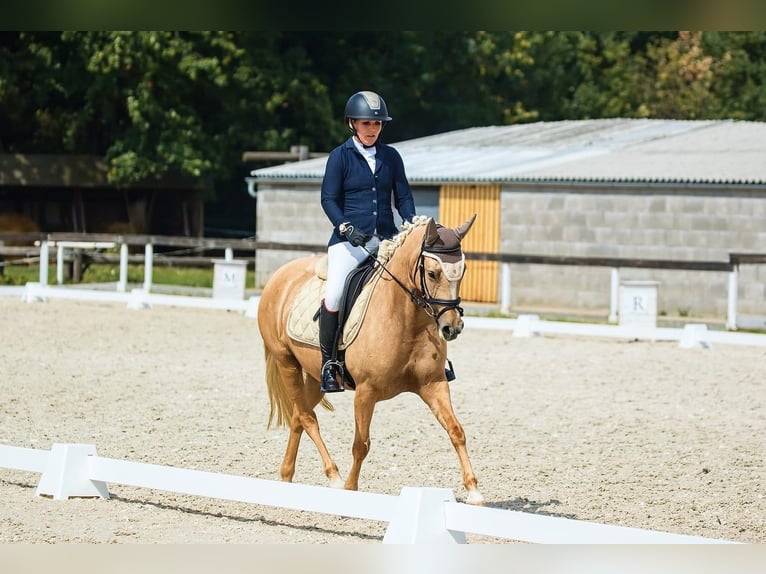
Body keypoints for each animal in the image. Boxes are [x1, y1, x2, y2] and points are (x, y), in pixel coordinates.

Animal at [258, 215, 486, 504]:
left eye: (463, 271)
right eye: (432, 273)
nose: (452, 328)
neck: (406, 319)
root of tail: (280, 275)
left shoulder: (434, 384)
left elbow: (457, 431)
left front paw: (474, 491)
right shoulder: (366, 391)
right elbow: (361, 444)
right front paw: (350, 489)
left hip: (315, 375)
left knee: (299, 415)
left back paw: (287, 476)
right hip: (286, 362)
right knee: (308, 418)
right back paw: (334, 477)